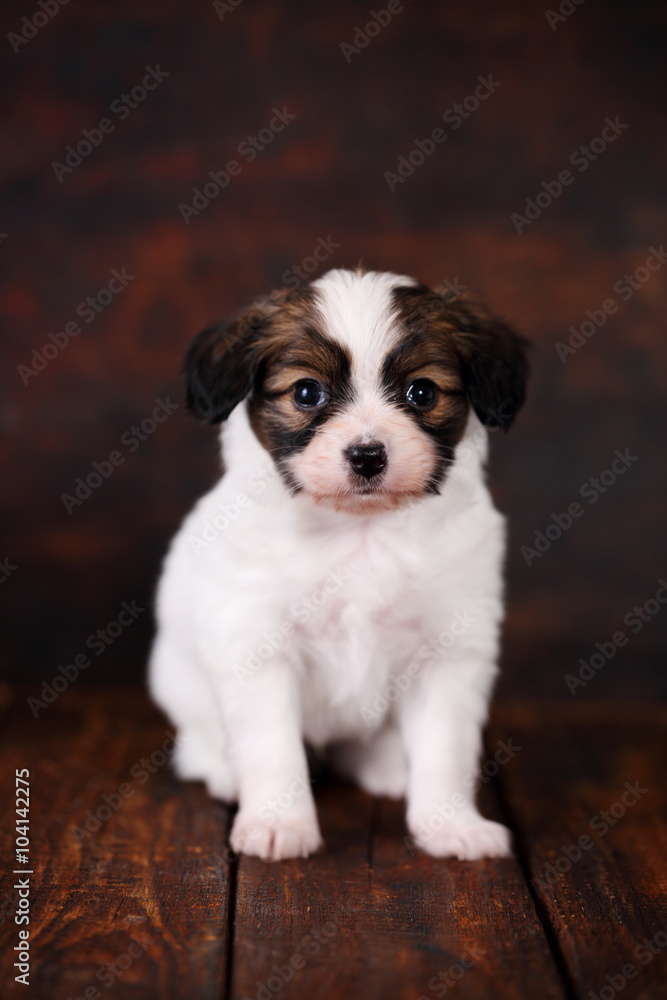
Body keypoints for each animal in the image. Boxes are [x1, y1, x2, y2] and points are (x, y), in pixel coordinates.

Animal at [149, 266, 528, 860]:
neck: (360, 530)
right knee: (203, 744)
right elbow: (272, 746)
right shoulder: (258, 647)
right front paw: (278, 822)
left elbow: (445, 750)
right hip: (179, 683)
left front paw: (451, 824)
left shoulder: (448, 652)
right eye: (307, 392)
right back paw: (224, 772)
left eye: (422, 392)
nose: (367, 456)